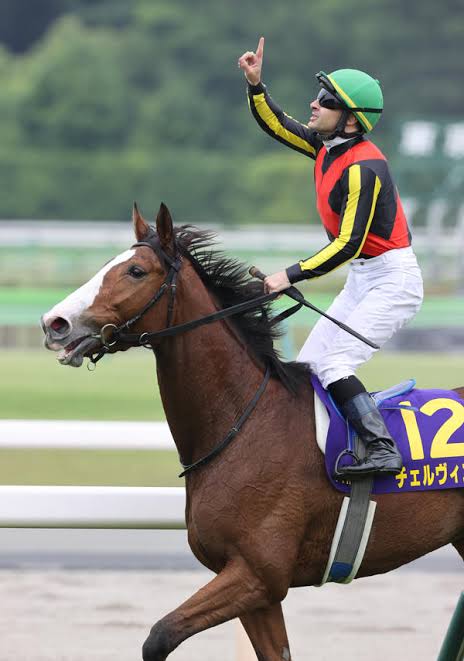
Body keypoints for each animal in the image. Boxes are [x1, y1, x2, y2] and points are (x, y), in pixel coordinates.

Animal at [41, 203, 464, 661]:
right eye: (108, 263)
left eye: (135, 271)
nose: (54, 323)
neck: (245, 419)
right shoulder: (256, 591)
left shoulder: (257, 574)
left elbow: (159, 636)